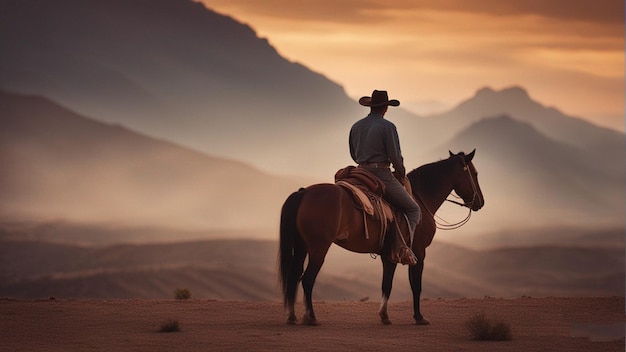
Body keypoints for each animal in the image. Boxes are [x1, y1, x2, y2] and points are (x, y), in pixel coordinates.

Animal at [278, 150, 482, 326]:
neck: (419, 199)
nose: (480, 202)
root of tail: (303, 192)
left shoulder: (389, 255)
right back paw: (311, 318)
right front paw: (419, 317)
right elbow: (416, 285)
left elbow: (387, 285)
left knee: (294, 276)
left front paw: (384, 316)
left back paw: (292, 317)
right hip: (318, 248)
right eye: (475, 173)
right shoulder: (419, 252)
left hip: (302, 246)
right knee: (307, 279)